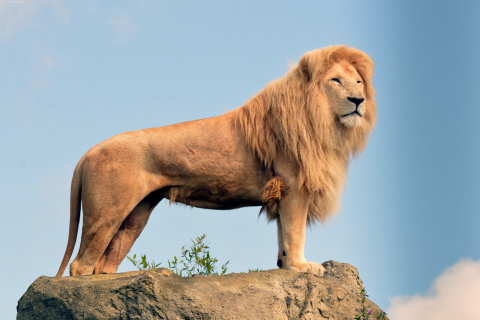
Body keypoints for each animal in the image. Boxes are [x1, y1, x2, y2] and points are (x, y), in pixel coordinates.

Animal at [56, 45, 376, 278]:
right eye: (336, 80)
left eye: (359, 82)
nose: (358, 100)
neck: (324, 123)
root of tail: (88, 152)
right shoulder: (294, 187)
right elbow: (295, 232)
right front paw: (302, 266)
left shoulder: (282, 192)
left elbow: (283, 234)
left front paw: (285, 265)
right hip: (107, 211)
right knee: (81, 264)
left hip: (136, 214)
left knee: (105, 263)